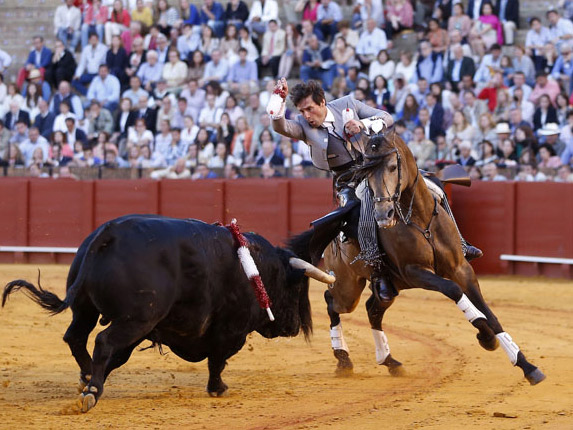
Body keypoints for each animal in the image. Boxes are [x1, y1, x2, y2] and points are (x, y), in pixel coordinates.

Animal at [2, 215, 334, 412]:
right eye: (295, 288)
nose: (293, 326)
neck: (257, 268)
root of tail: (108, 234)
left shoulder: (152, 328)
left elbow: (118, 359)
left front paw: (95, 378)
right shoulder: (231, 330)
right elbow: (218, 360)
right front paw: (217, 389)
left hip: (89, 309)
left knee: (76, 336)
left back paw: (87, 378)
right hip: (136, 318)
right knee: (103, 341)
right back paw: (92, 390)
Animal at [301, 129, 546, 385]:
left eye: (392, 167)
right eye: (366, 173)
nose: (383, 215)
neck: (420, 218)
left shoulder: (461, 268)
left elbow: (488, 311)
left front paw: (526, 365)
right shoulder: (416, 271)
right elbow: (454, 291)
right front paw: (486, 336)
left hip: (390, 286)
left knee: (372, 310)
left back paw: (389, 361)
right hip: (348, 287)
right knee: (332, 302)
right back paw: (344, 359)